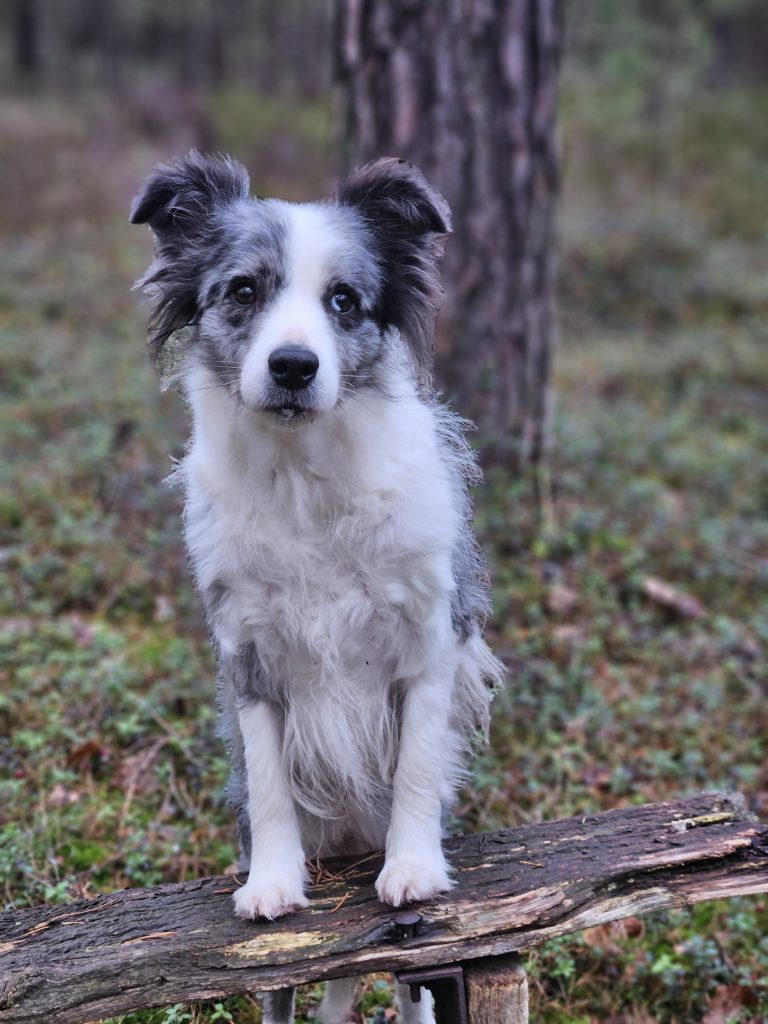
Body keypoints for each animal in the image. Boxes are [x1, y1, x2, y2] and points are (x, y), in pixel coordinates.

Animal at [131, 151, 503, 1024]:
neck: (304, 480)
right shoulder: (249, 654)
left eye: (343, 301)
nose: (294, 367)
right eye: (243, 291)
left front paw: (412, 868)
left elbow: (416, 766)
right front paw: (273, 884)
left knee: (410, 984)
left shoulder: (429, 643)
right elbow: (270, 782)